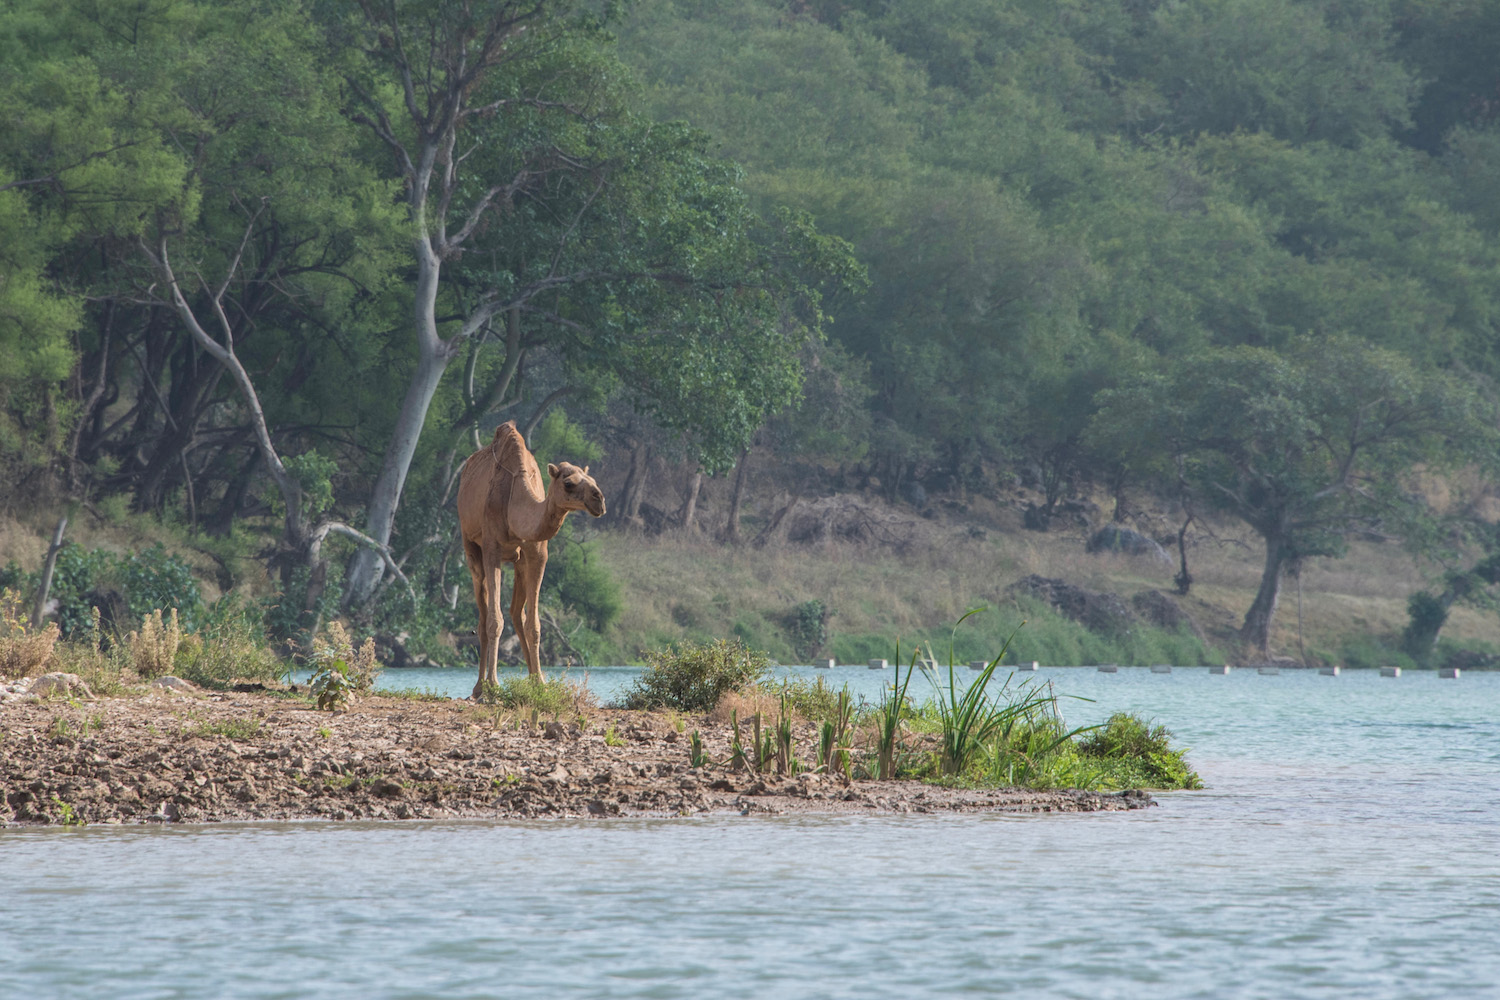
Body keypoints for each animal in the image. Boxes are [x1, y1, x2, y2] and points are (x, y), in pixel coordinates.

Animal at [456, 419, 603, 695]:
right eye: (568, 483)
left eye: (592, 479)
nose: (599, 499)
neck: (515, 502)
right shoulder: (492, 549)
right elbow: (494, 620)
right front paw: (494, 684)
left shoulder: (537, 554)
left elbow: (534, 624)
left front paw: (541, 684)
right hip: (470, 545)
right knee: (483, 616)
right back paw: (479, 687)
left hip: (519, 562)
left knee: (517, 612)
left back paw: (533, 678)